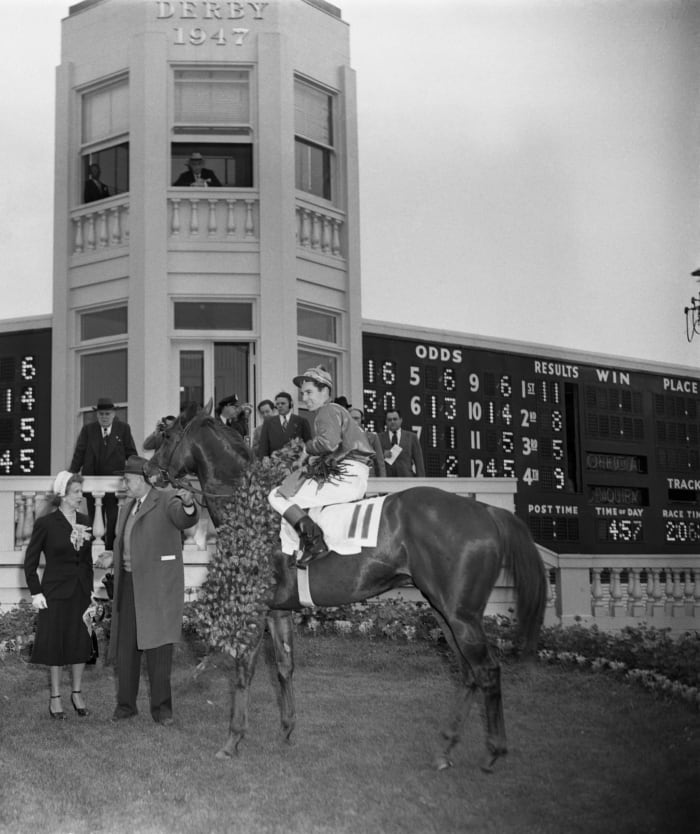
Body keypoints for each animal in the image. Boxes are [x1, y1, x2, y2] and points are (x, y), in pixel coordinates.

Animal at [150, 406, 548, 772]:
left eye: (167, 437)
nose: (150, 470)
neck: (247, 501)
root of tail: (487, 511)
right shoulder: (279, 611)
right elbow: (284, 668)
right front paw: (287, 730)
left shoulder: (255, 607)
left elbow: (243, 670)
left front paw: (232, 741)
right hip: (445, 614)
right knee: (468, 674)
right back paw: (446, 748)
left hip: (461, 615)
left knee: (488, 671)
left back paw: (494, 751)